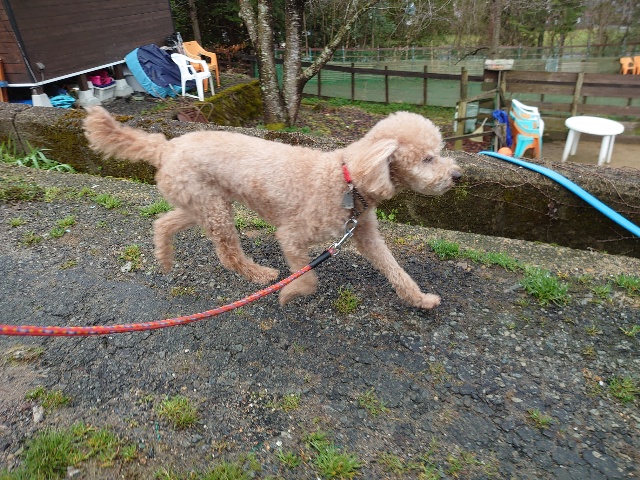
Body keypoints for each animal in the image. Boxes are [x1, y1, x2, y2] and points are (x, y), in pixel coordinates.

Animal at [84, 107, 461, 309]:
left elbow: (395, 269)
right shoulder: (292, 236)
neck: (348, 180)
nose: (457, 175)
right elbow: (308, 279)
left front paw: (421, 299)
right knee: (228, 253)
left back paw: (164, 259)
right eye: (428, 158)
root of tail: (165, 146)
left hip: (201, 202)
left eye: (439, 152)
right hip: (214, 209)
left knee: (163, 223)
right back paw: (260, 275)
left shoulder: (365, 234)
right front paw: (289, 294)